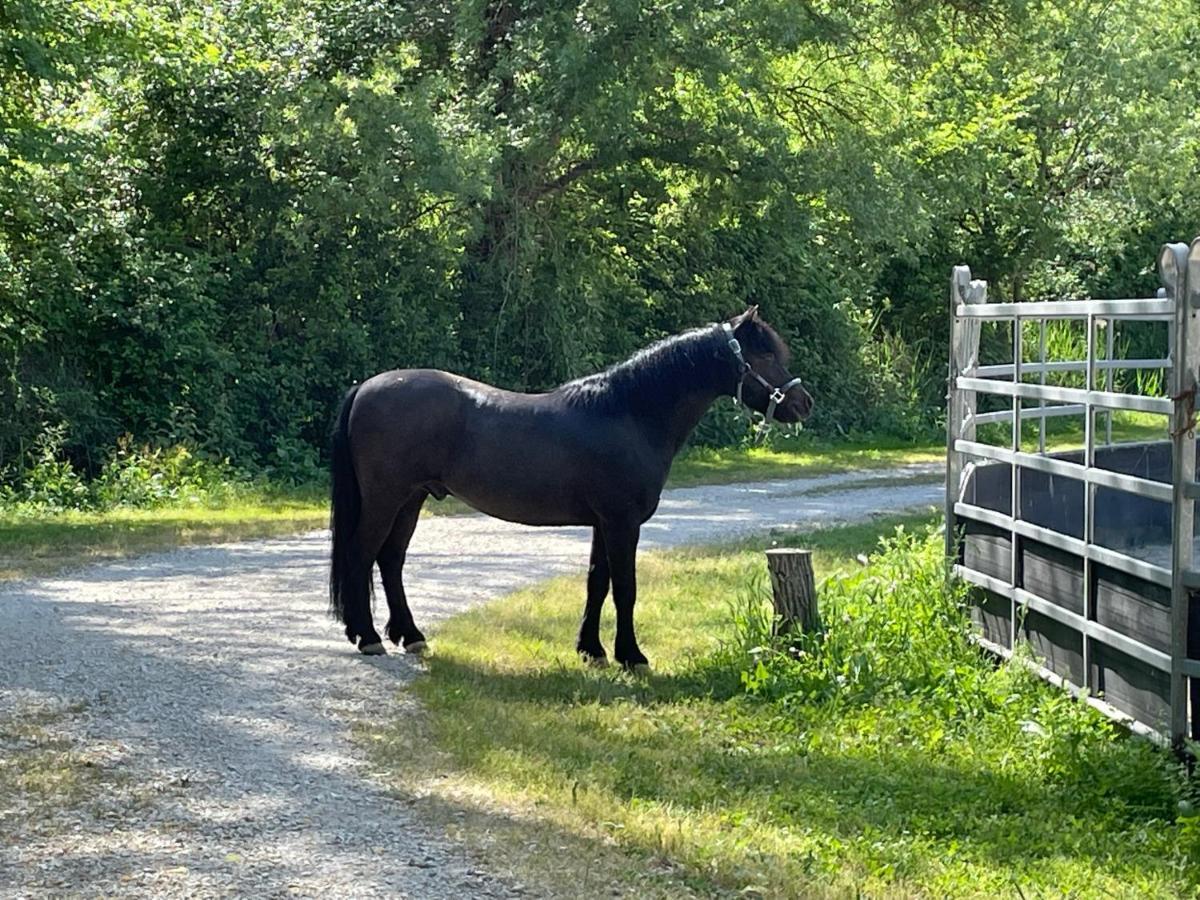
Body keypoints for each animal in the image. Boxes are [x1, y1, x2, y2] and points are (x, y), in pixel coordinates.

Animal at [333, 309, 811, 672]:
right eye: (764, 353)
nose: (803, 402)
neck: (628, 413)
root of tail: (365, 387)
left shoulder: (604, 523)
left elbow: (597, 582)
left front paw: (591, 650)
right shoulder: (622, 523)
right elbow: (625, 588)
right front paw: (632, 656)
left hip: (411, 499)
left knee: (390, 560)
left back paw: (410, 636)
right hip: (386, 498)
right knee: (361, 554)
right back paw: (368, 637)